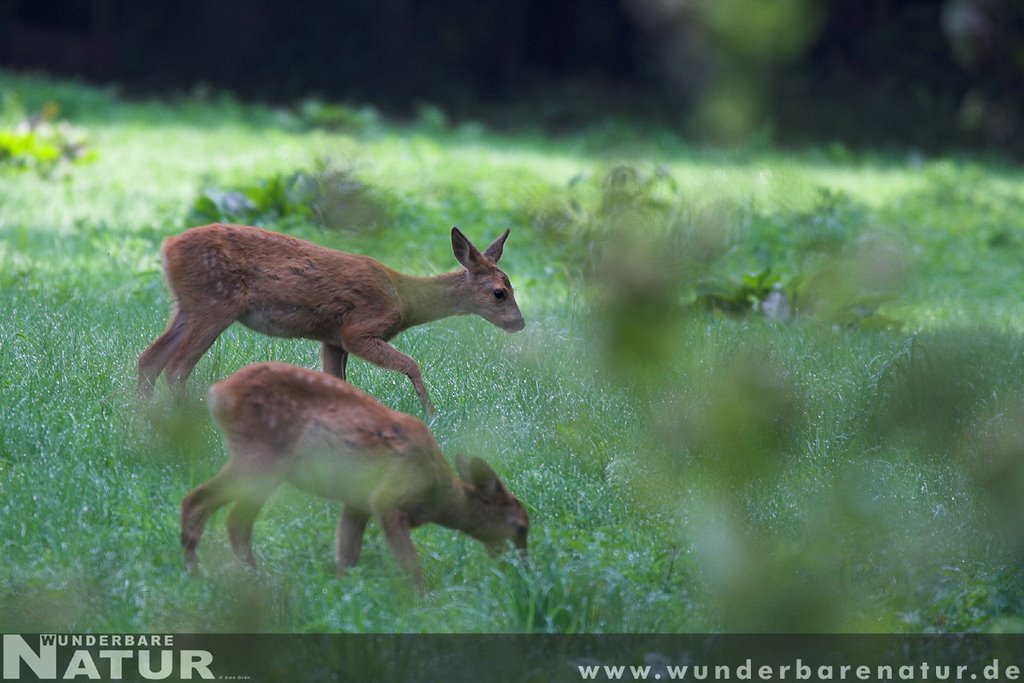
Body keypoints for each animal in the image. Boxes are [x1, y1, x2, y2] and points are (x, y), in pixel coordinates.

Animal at [140, 225, 524, 417]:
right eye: (499, 292)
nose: (519, 323)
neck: (403, 298)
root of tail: (167, 246)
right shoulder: (358, 330)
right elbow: (411, 364)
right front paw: (430, 413)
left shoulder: (332, 339)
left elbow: (337, 382)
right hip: (215, 304)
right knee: (176, 366)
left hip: (188, 307)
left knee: (149, 360)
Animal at [180, 360, 528, 589]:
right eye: (521, 526)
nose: (523, 566)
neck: (437, 496)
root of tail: (218, 392)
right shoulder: (388, 497)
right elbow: (409, 563)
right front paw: (423, 599)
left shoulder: (357, 502)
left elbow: (346, 556)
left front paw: (343, 593)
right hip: (262, 458)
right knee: (203, 504)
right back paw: (212, 576)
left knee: (231, 519)